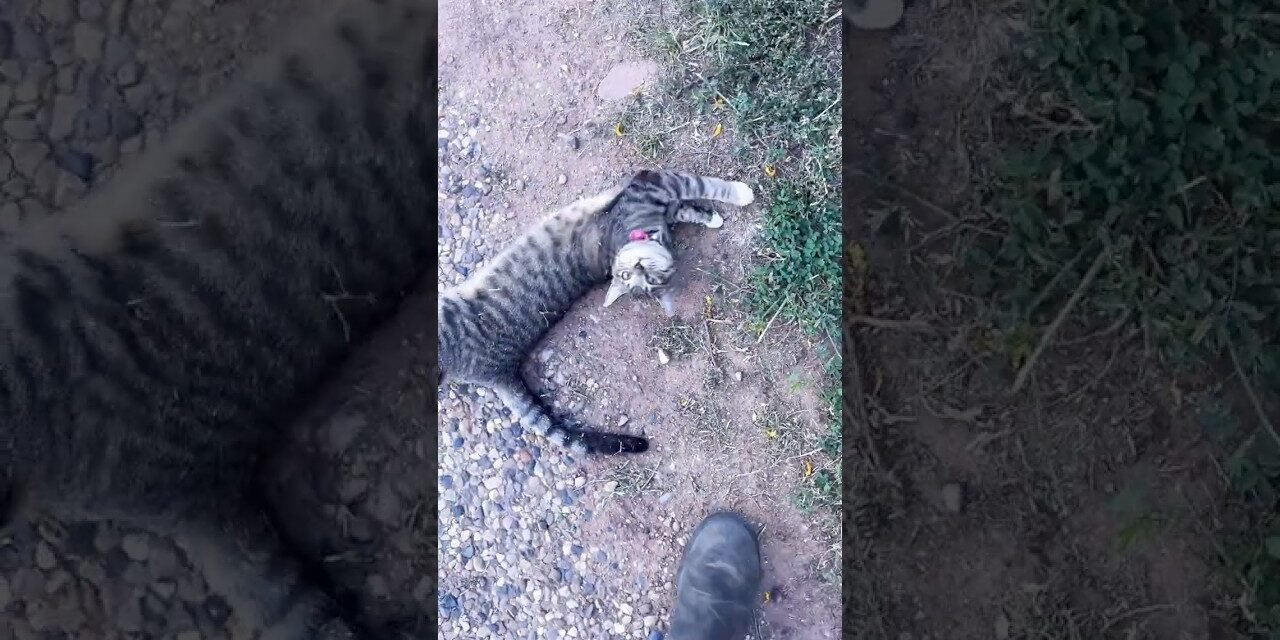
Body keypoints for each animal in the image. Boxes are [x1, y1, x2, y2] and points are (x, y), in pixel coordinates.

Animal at [437, 166, 747, 455]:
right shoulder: (653, 185)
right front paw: (731, 201)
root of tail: (499, 370)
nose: (638, 265)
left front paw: (725, 205)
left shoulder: (656, 189)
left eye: (650, 279)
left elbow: (695, 195)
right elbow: (697, 191)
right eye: (626, 276)